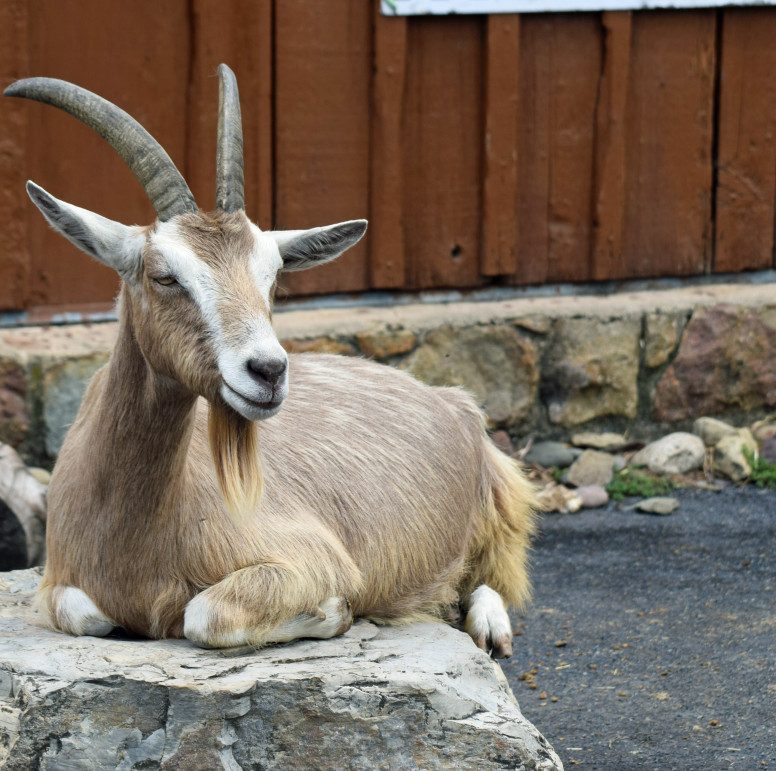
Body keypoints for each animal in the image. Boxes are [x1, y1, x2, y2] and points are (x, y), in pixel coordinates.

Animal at [6, 65, 536, 656]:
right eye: (165, 276)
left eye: (273, 276)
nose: (268, 371)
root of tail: (450, 399)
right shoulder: (60, 587)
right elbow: (85, 613)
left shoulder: (309, 558)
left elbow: (204, 614)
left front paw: (334, 612)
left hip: (497, 505)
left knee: (492, 573)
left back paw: (488, 628)